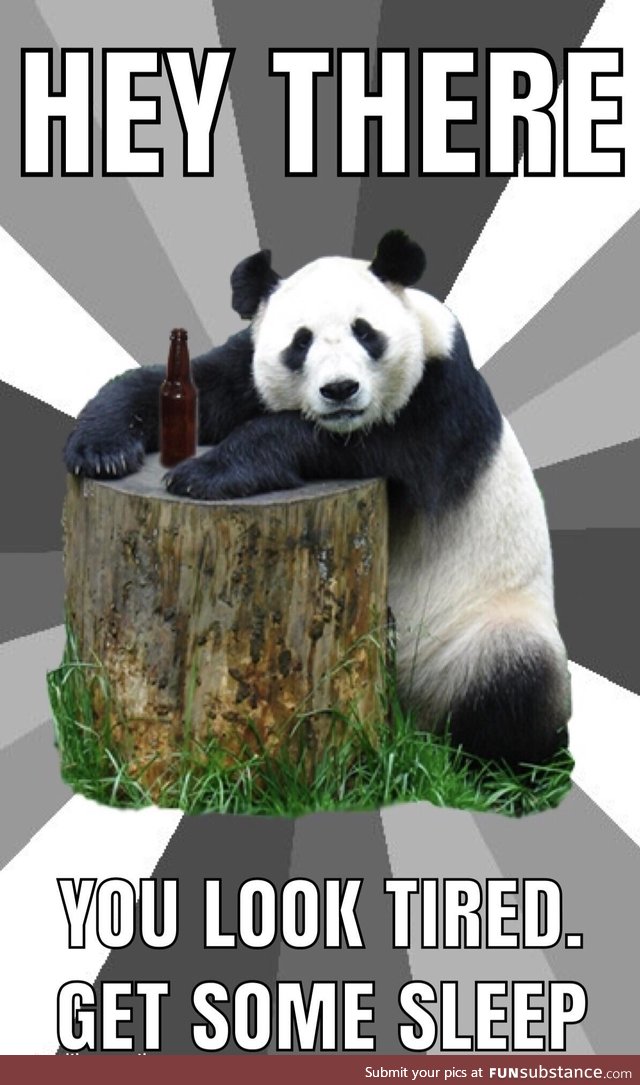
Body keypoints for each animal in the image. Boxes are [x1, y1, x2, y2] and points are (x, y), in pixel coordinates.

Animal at [64, 230, 571, 768]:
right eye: (300, 342)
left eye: (366, 333)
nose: (340, 389)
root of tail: (415, 715)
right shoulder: (247, 366)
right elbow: (192, 387)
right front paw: (100, 448)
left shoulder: (441, 403)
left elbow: (367, 446)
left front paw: (207, 472)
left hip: (487, 624)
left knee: (517, 682)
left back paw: (492, 767)